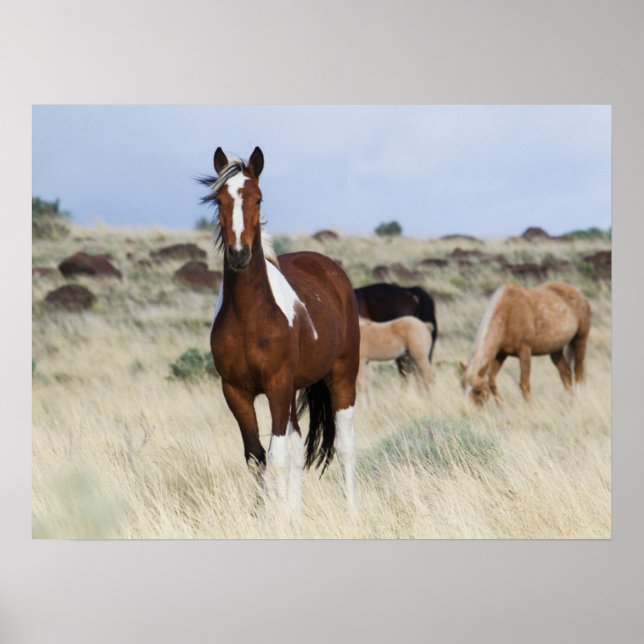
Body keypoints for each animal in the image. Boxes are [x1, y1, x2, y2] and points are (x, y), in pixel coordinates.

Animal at [200, 147, 360, 509]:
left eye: (258, 199)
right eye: (219, 199)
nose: (239, 254)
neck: (251, 317)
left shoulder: (277, 385)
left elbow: (277, 458)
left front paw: (278, 515)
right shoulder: (236, 391)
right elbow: (256, 456)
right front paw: (266, 513)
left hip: (342, 378)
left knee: (344, 447)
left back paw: (352, 513)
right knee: (298, 449)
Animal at [459, 282, 591, 405]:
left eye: (478, 390)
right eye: (463, 388)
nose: (468, 411)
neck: (508, 314)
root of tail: (579, 293)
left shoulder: (524, 351)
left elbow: (524, 384)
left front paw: (529, 408)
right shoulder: (501, 354)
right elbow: (492, 381)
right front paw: (502, 407)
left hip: (580, 340)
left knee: (578, 372)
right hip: (555, 350)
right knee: (566, 373)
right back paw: (569, 400)